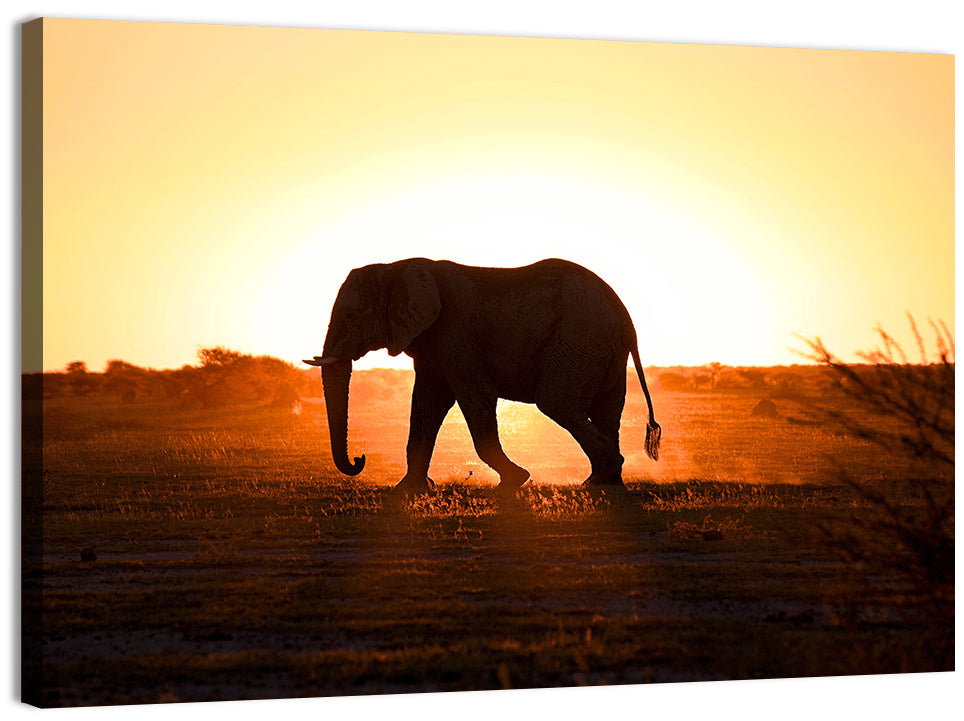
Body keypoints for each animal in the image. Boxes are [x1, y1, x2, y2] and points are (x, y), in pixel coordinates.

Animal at [304, 258, 661, 493]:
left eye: (351, 317)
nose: (359, 458)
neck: (396, 267)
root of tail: (626, 319)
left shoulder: (455, 334)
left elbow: (474, 397)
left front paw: (515, 481)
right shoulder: (433, 342)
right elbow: (426, 405)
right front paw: (408, 489)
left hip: (579, 340)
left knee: (557, 403)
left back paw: (598, 479)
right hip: (602, 350)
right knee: (606, 412)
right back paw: (604, 482)